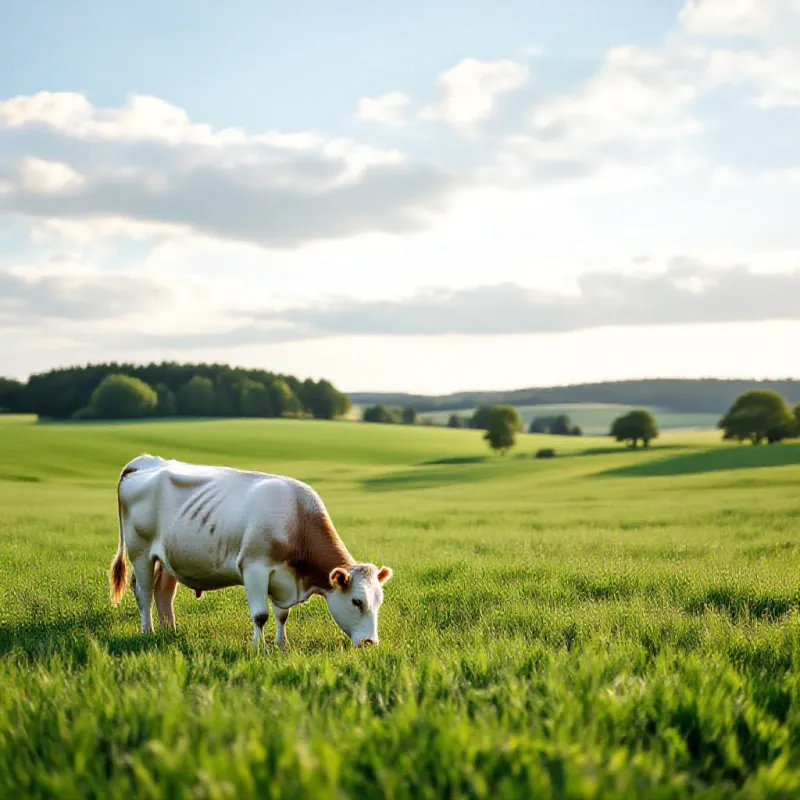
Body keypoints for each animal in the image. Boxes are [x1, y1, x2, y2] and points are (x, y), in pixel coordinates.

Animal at [109, 454, 393, 648]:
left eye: (379, 601)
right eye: (356, 601)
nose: (370, 643)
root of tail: (144, 461)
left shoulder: (282, 578)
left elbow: (282, 614)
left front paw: (282, 644)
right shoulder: (254, 568)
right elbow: (260, 615)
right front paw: (258, 646)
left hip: (170, 556)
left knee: (163, 593)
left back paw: (171, 631)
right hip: (141, 551)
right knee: (144, 592)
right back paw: (148, 631)